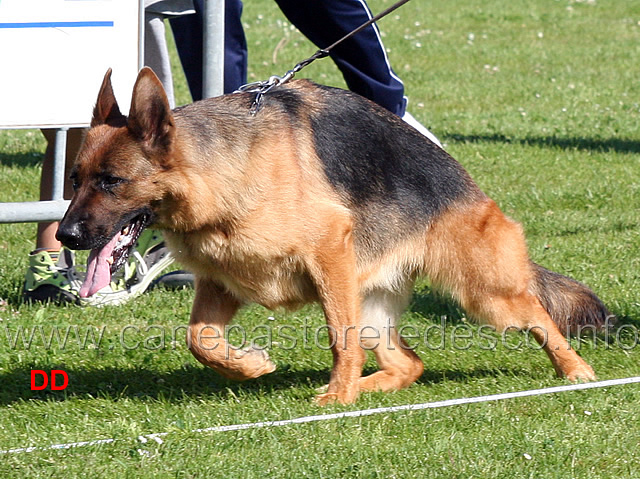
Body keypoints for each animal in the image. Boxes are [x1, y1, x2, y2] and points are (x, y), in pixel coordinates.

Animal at [56, 67, 608, 404]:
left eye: (111, 182)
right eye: (75, 180)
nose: (66, 235)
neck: (218, 175)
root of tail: (471, 189)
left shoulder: (328, 255)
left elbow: (339, 341)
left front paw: (338, 397)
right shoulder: (222, 280)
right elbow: (201, 340)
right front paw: (250, 366)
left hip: (484, 294)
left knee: (538, 315)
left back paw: (576, 372)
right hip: (374, 309)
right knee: (408, 363)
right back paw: (372, 387)